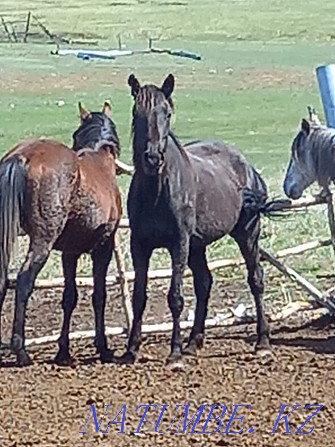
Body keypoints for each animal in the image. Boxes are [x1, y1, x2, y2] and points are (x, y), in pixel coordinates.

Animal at [0, 102, 122, 368]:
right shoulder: (103, 247)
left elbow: (69, 297)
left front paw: (63, 351)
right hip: (42, 240)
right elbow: (99, 295)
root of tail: (21, 156)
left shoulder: (69, 251)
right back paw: (21, 351)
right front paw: (103, 347)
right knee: (24, 281)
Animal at [118, 74, 276, 368]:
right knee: (204, 283)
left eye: (167, 113)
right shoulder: (140, 245)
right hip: (198, 245)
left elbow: (175, 297)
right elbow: (138, 297)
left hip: (247, 234)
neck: (157, 190)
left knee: (256, 279)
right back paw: (194, 342)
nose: (153, 158)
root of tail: (247, 166)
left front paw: (175, 354)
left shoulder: (179, 243)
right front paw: (131, 350)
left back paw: (262, 343)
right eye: (137, 113)